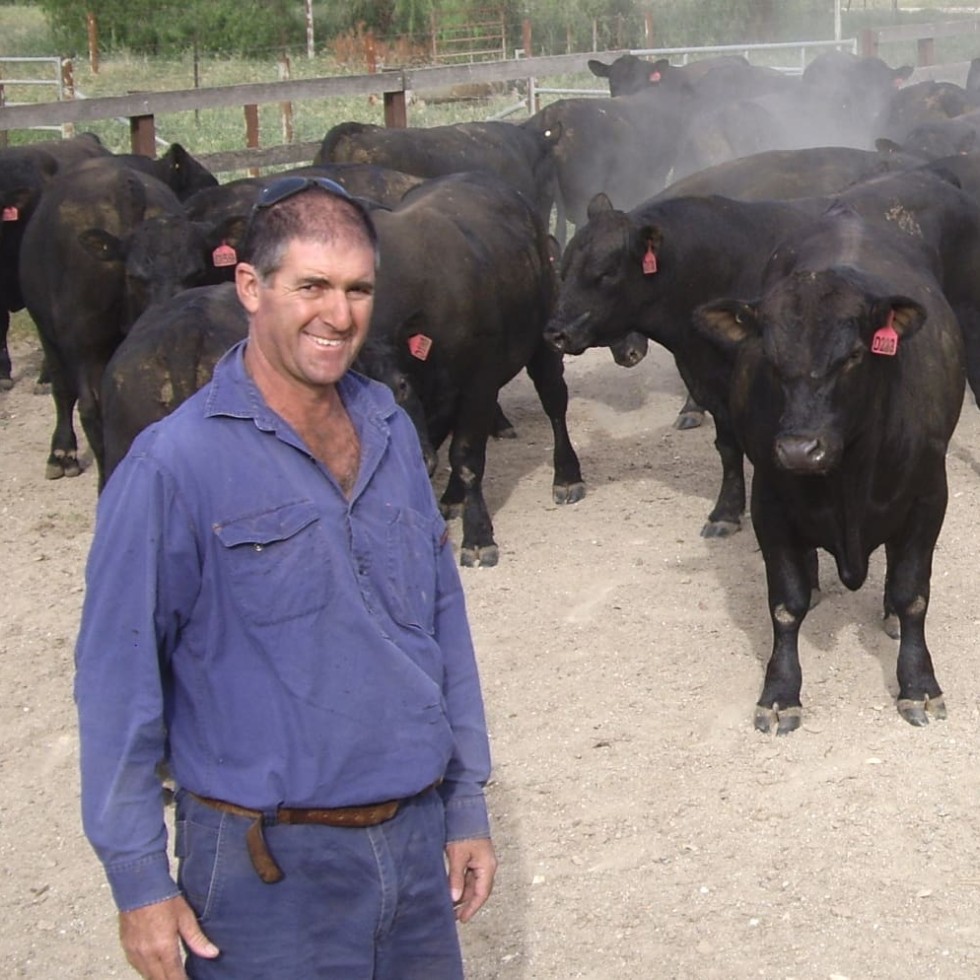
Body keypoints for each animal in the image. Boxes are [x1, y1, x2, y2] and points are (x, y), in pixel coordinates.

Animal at [696, 212, 964, 736]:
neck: (849, 481)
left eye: (855, 355)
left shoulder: (929, 498)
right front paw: (780, 693)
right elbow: (785, 603)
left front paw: (919, 685)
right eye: (770, 358)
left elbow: (912, 594)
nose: (800, 449)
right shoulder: (769, 502)